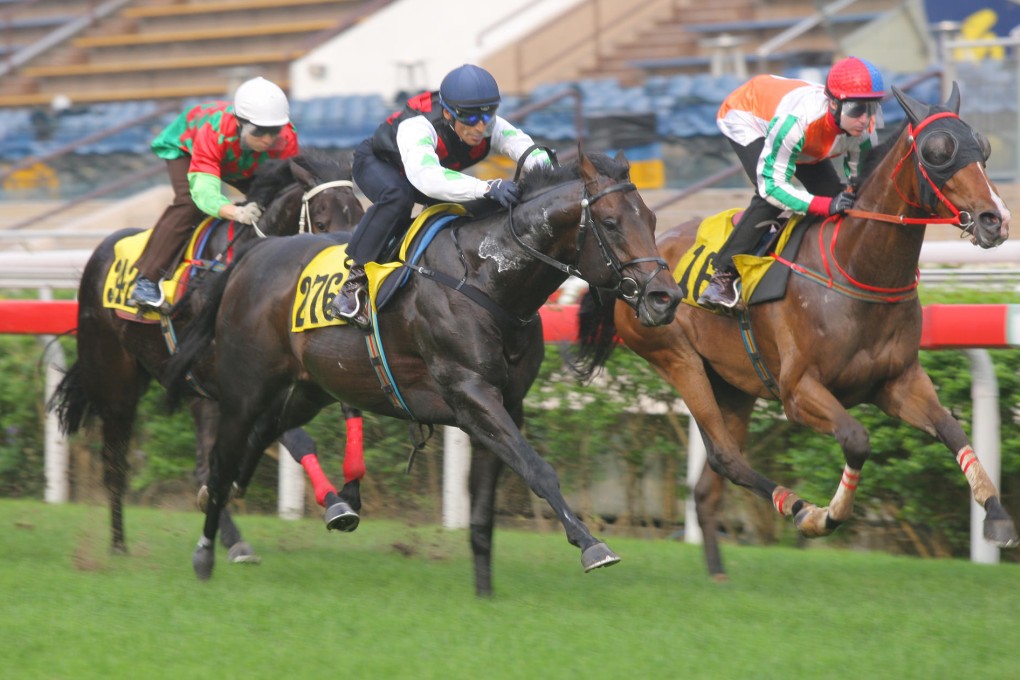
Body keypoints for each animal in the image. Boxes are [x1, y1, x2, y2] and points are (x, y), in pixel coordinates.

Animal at [48, 151, 367, 562]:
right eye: (323, 221)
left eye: (360, 216)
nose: (352, 281)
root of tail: (102, 248)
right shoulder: (238, 384)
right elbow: (288, 436)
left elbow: (335, 414)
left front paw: (342, 498)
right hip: (115, 380)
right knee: (116, 460)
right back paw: (120, 544)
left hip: (192, 391)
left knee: (204, 462)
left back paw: (229, 536)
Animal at [163, 147, 681, 591]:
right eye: (611, 223)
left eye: (653, 219)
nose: (666, 297)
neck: (487, 276)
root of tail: (251, 256)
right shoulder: (471, 394)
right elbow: (538, 469)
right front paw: (592, 544)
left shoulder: (507, 404)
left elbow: (484, 509)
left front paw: (485, 593)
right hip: (244, 388)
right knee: (223, 458)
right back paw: (208, 552)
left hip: (310, 388)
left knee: (261, 438)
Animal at [571, 82, 1015, 579]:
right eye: (937, 152)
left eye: (984, 147)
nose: (995, 219)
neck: (856, 267)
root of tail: (632, 267)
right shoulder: (799, 393)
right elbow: (857, 439)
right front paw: (827, 516)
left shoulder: (899, 383)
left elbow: (953, 430)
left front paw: (996, 516)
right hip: (676, 357)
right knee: (725, 456)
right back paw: (798, 508)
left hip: (733, 386)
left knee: (708, 484)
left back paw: (719, 572)